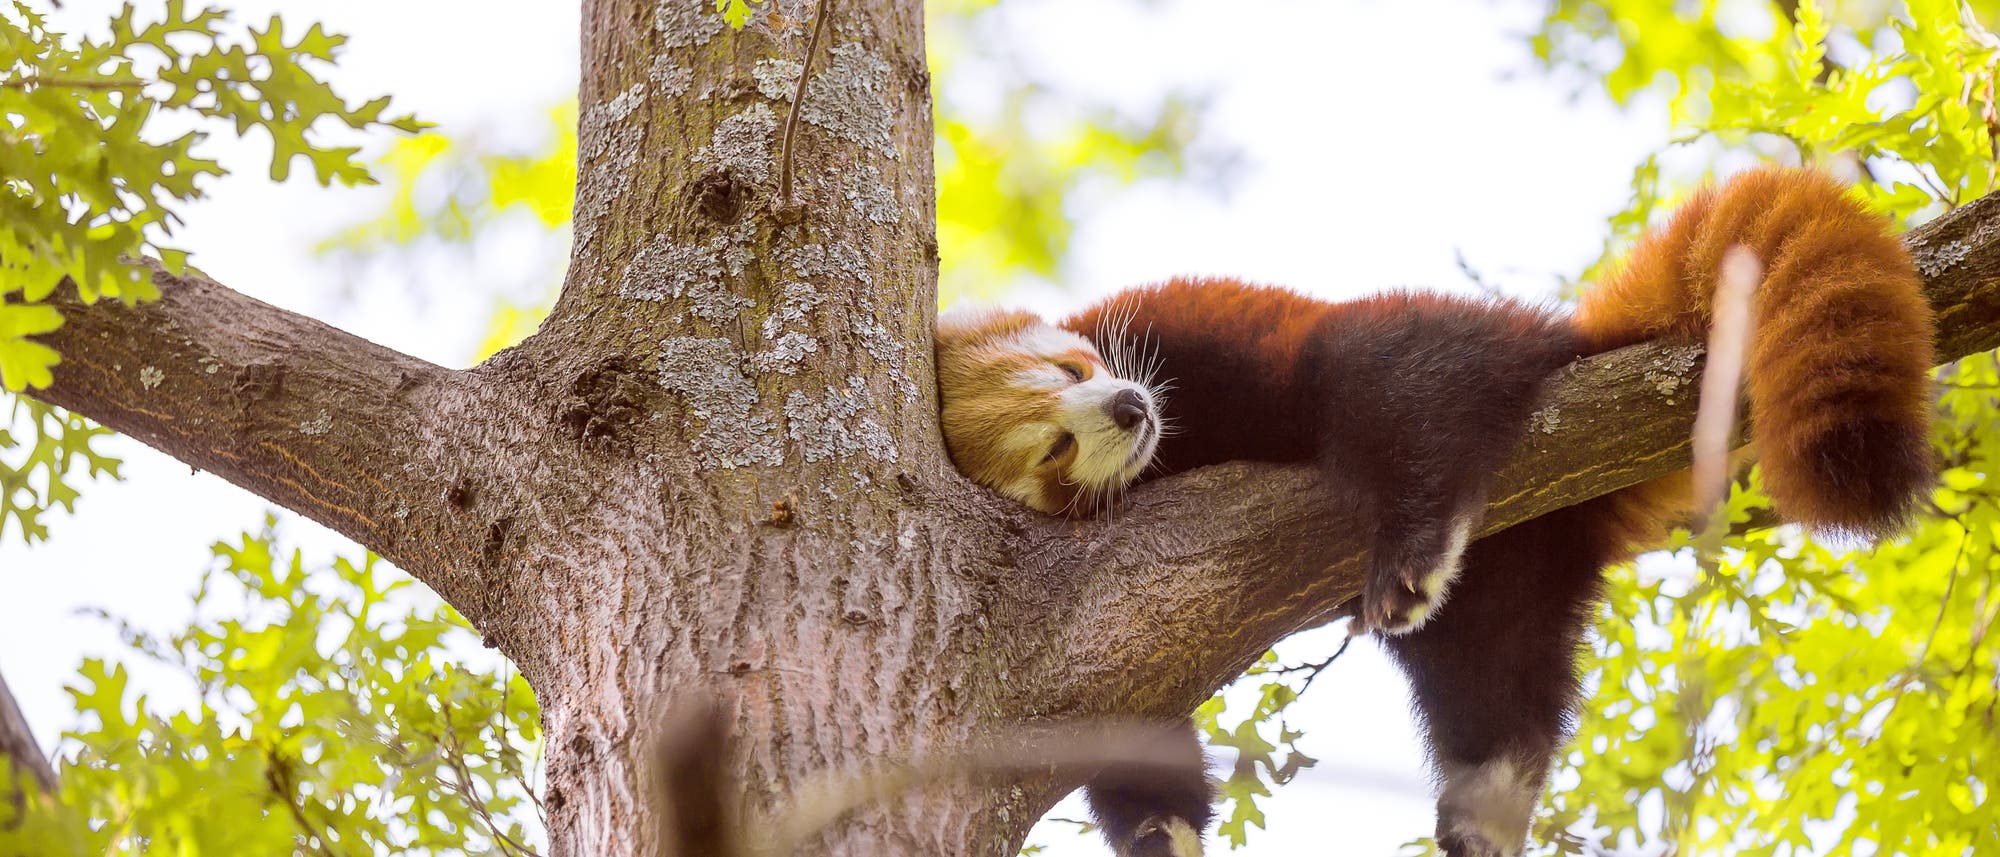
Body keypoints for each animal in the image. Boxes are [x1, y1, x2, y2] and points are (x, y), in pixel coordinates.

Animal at [932, 167, 1936, 857]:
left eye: (1071, 367)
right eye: (1053, 453)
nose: (1126, 410)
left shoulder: (1178, 329)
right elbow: (1128, 715)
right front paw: (1157, 828)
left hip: (1444, 385)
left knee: (1397, 372)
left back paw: (1414, 540)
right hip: (1512, 579)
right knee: (1493, 671)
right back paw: (1490, 794)